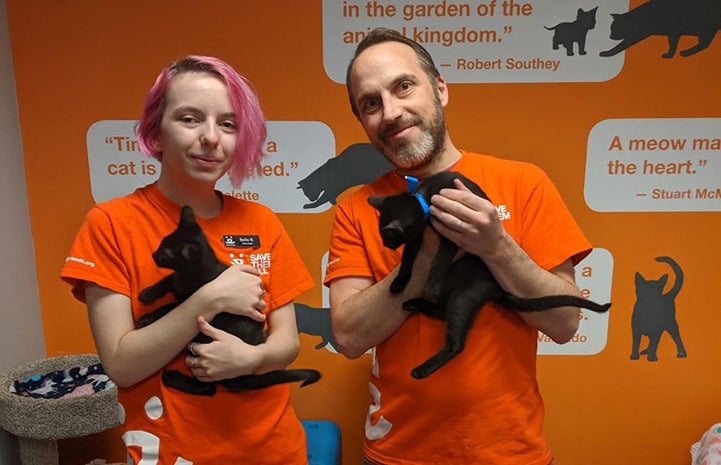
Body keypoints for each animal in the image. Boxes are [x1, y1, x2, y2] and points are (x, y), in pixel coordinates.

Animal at [138, 206, 320, 396]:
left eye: (165, 255)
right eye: (161, 243)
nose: (153, 255)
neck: (188, 274)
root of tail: (244, 375)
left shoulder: (191, 301)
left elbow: (170, 307)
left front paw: (147, 317)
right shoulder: (176, 281)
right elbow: (167, 280)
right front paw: (147, 293)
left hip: (205, 342)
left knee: (209, 388)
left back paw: (172, 377)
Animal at [368, 172, 612, 378]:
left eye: (386, 237)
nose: (386, 245)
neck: (427, 196)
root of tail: (497, 288)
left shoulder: (452, 234)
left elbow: (439, 260)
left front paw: (431, 285)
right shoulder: (417, 239)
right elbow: (408, 261)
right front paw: (398, 284)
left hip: (465, 294)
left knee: (456, 341)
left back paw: (423, 368)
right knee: (444, 313)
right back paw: (414, 303)